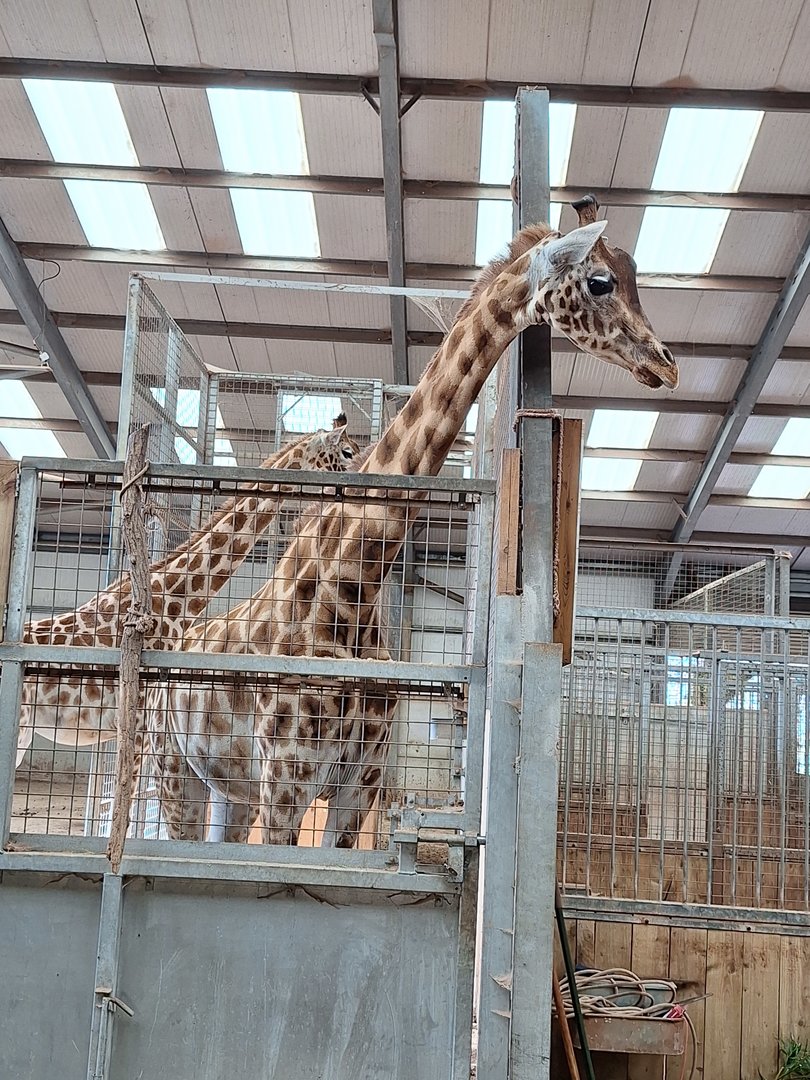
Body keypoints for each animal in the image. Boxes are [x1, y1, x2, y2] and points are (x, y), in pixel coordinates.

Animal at [153, 201, 678, 847]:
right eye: (601, 281)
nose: (666, 364)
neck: (351, 588)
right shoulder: (287, 779)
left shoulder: (358, 785)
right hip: (175, 773)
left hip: (227, 791)